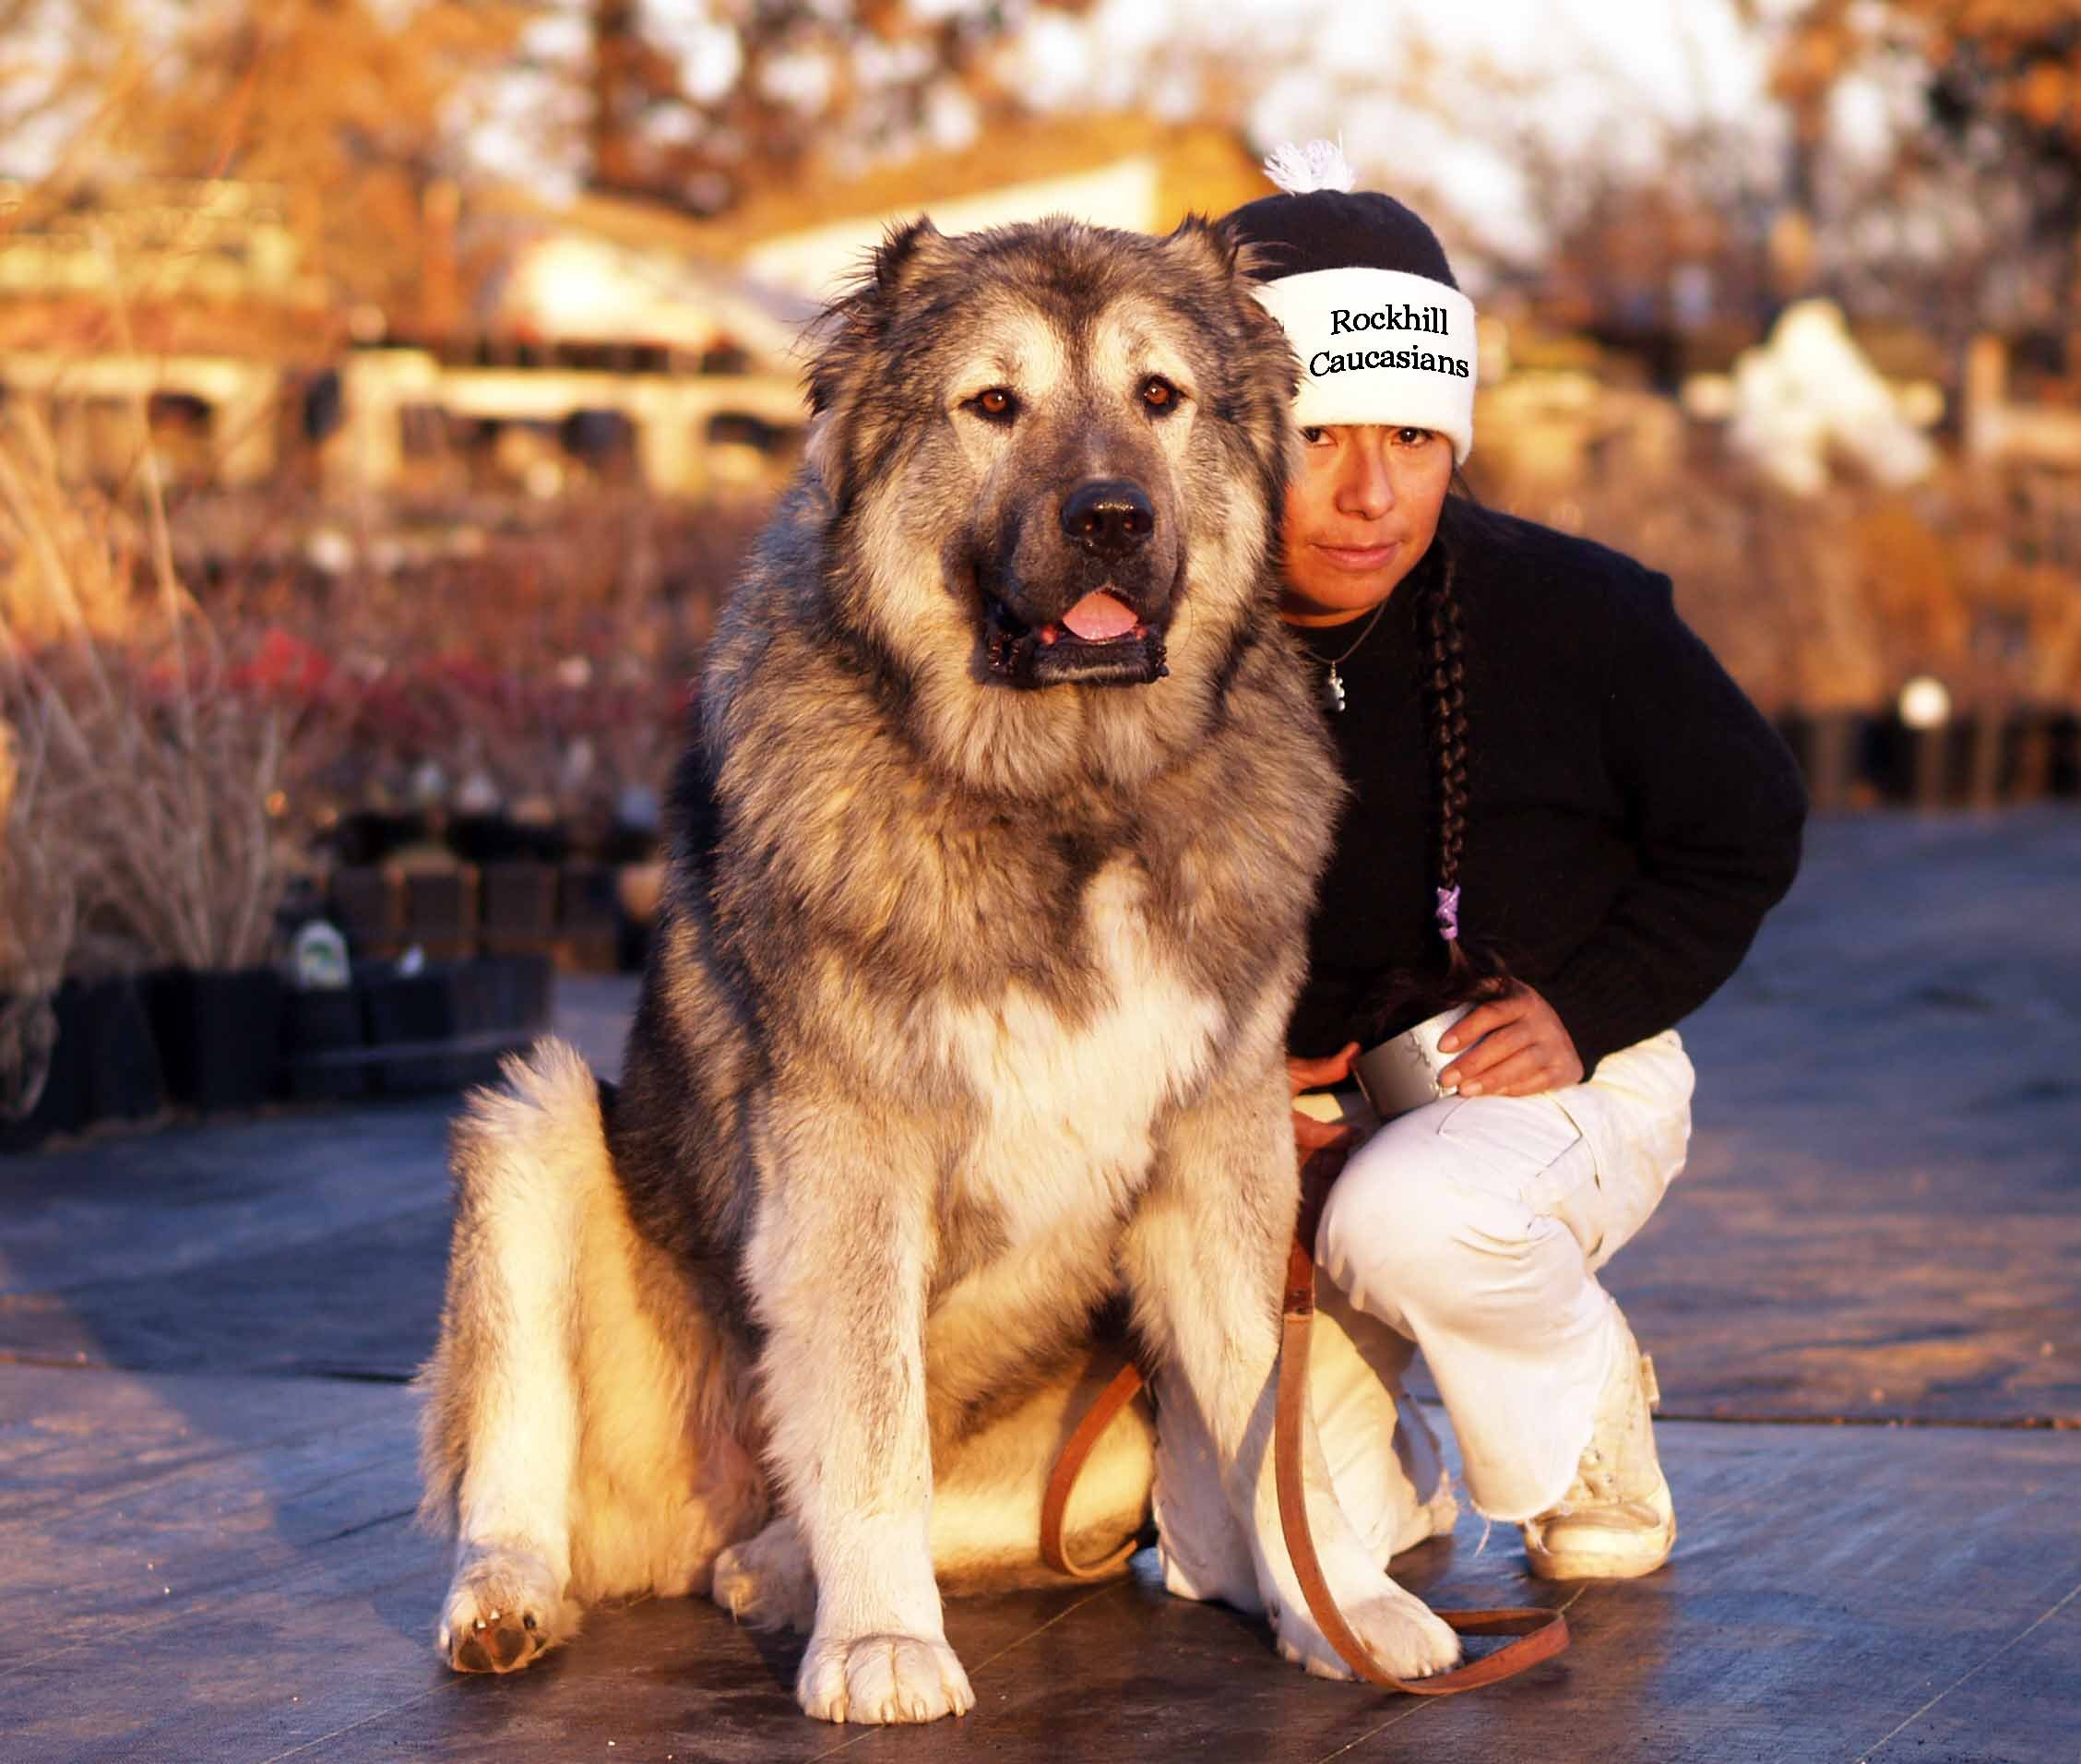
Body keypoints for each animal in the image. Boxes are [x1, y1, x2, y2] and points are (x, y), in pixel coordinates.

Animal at [418, 209, 1465, 1722]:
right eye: (994, 405)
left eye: (1160, 397)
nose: (1111, 517)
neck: (1062, 802)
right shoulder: (848, 1152)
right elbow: (868, 1417)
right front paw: (880, 1644)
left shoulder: (1220, 1142)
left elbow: (1268, 1398)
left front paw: (1348, 1609)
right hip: (535, 1116)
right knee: (522, 1467)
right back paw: (516, 1595)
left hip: (1105, 1442)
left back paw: (771, 1572)